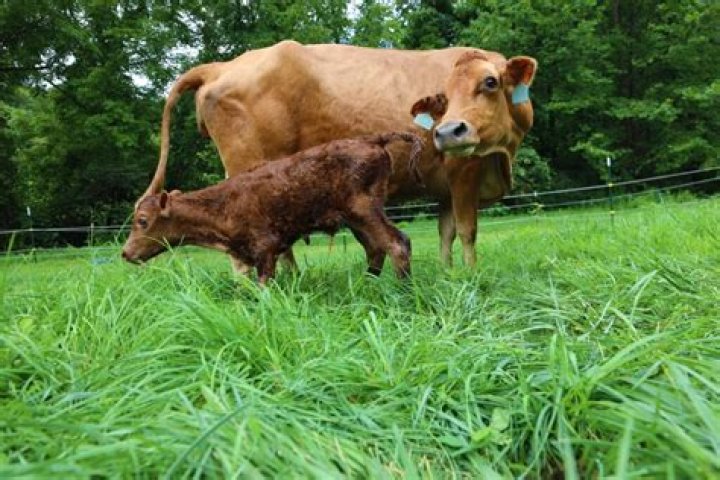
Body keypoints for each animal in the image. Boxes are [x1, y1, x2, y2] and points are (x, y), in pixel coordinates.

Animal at [122, 133, 423, 284]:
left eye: (142, 220)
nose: (125, 253)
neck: (223, 207)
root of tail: (373, 140)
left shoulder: (265, 250)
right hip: (356, 219)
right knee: (375, 249)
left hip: (365, 210)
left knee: (397, 243)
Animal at [140, 41, 537, 268]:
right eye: (444, 94)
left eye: (490, 82)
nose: (448, 131)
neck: (502, 156)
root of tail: (222, 65)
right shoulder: (465, 169)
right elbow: (468, 231)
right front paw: (471, 278)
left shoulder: (444, 187)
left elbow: (446, 234)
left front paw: (448, 276)